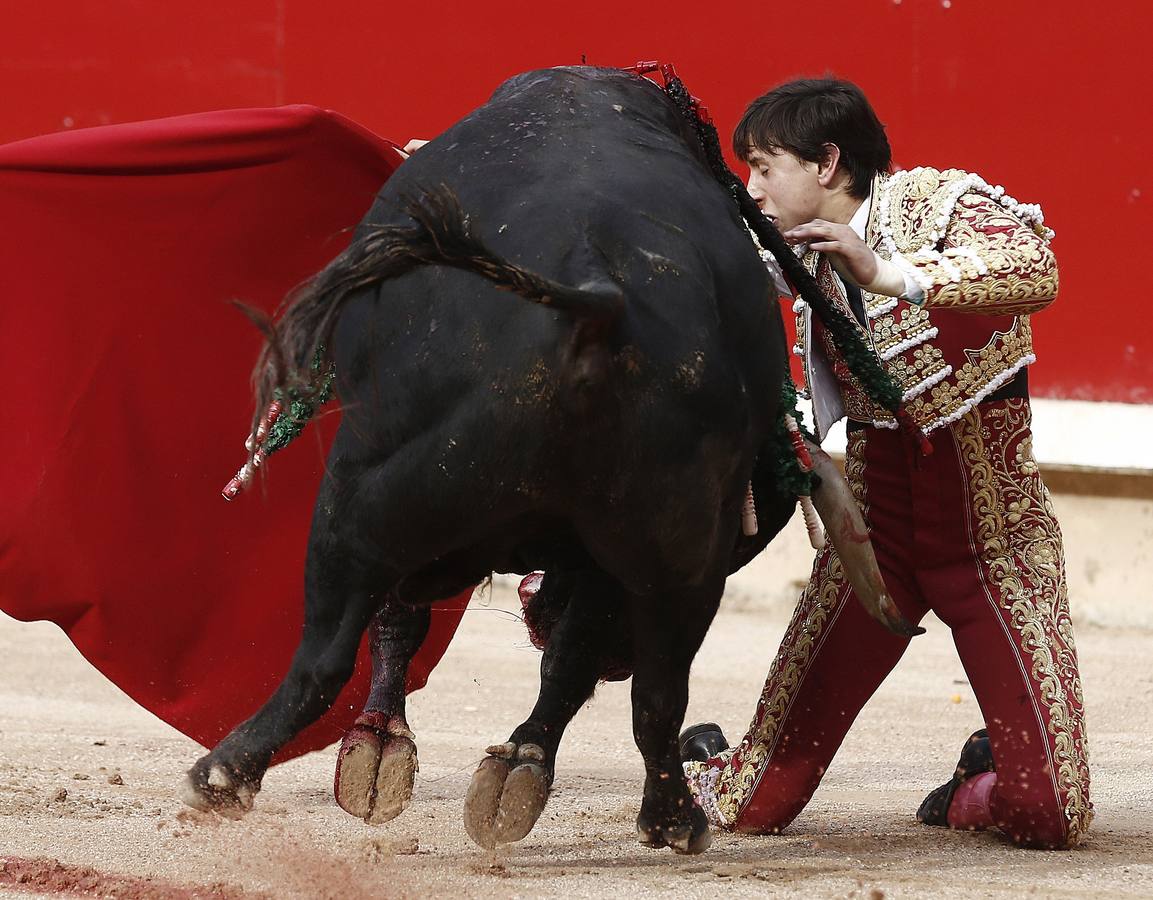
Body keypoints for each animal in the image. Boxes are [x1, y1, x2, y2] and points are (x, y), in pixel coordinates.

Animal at [182, 66, 917, 852]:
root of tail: (599, 298)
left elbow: (420, 623)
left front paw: (401, 752)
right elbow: (554, 653)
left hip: (371, 496)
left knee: (334, 652)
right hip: (664, 552)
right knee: (653, 688)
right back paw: (665, 813)